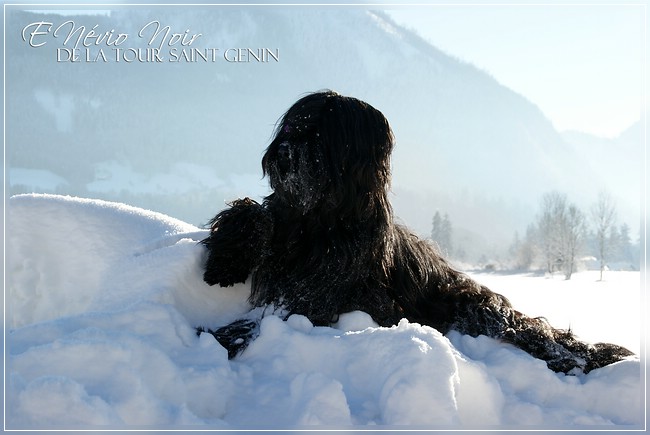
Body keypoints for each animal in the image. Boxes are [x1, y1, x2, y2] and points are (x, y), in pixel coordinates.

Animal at [200, 89, 632, 374]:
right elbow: (250, 211)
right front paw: (224, 263)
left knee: (531, 331)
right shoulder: (285, 222)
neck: (319, 220)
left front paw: (220, 337)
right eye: (291, 125)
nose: (283, 154)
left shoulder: (321, 291)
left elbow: (272, 314)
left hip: (478, 307)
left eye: (319, 134)